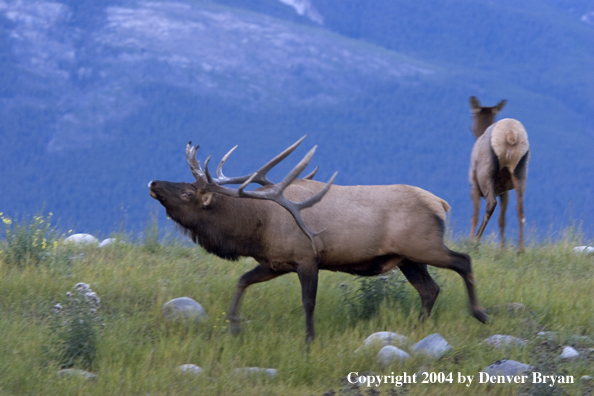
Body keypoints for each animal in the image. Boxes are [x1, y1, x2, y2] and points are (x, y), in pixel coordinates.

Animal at [148, 138, 486, 342]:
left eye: (187, 192)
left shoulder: (307, 257)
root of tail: (441, 204)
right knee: (430, 289)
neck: (256, 228)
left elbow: (308, 301)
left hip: (423, 246)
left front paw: (309, 339)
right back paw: (418, 327)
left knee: (463, 260)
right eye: (185, 184)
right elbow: (242, 280)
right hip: (409, 259)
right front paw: (234, 323)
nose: (153, 182)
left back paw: (479, 313)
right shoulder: (274, 263)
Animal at [470, 96, 528, 251]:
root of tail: (510, 134)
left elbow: (474, 215)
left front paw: (469, 240)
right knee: (520, 207)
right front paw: (502, 249)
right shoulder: (504, 191)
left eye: (473, 114)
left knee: (491, 203)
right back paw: (520, 249)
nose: (472, 129)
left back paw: (476, 240)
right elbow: (502, 219)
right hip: (520, 172)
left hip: (485, 174)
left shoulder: (474, 185)